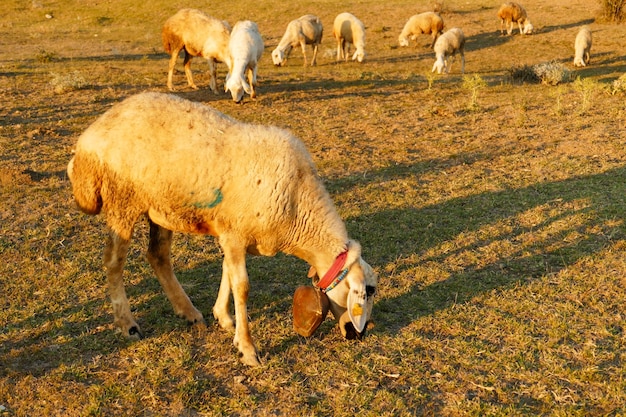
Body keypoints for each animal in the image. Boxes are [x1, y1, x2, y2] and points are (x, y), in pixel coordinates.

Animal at [69, 92, 380, 366]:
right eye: (369, 291)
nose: (360, 334)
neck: (298, 208)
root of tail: (89, 136)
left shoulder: (232, 233)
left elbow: (227, 273)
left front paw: (223, 317)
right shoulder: (235, 233)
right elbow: (241, 286)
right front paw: (248, 349)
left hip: (161, 208)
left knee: (157, 256)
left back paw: (189, 312)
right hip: (123, 201)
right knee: (114, 261)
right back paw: (128, 324)